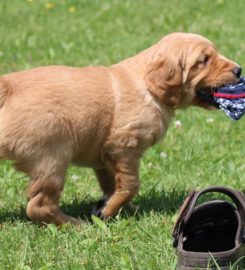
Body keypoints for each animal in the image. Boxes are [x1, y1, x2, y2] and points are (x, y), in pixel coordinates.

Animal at [0, 32, 241, 226]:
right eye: (204, 60)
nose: (239, 70)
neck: (148, 87)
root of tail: (8, 88)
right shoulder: (124, 146)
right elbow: (130, 184)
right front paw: (110, 210)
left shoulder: (105, 154)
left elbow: (111, 184)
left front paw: (118, 207)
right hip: (53, 156)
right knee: (39, 206)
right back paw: (75, 224)